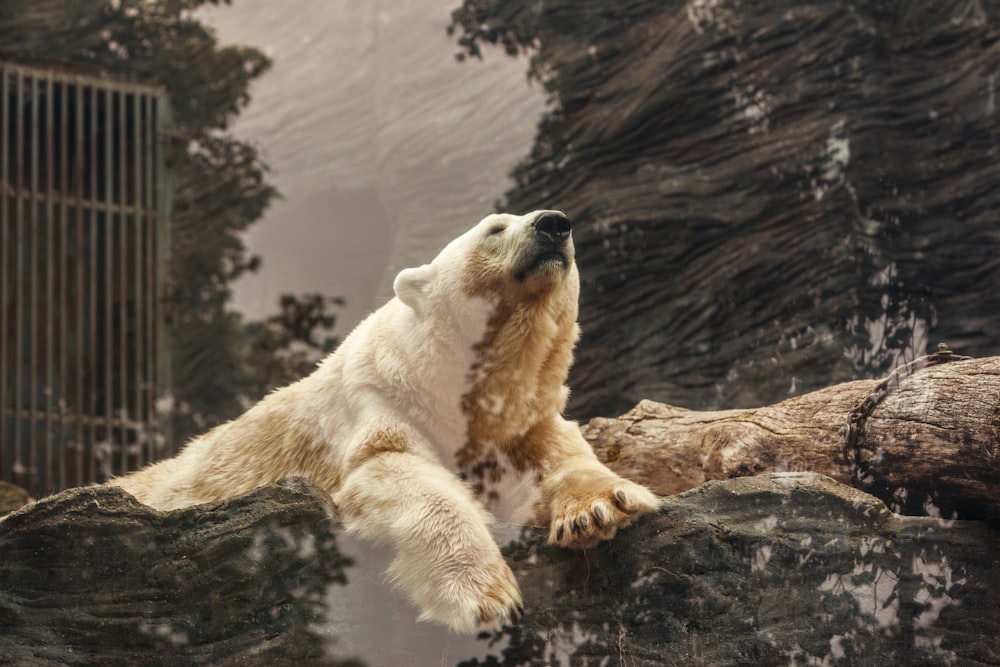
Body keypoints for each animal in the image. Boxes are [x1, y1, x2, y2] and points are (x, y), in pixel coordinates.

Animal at [113, 211, 660, 636]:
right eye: (495, 227)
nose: (554, 224)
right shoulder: (377, 399)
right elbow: (393, 468)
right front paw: (487, 599)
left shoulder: (521, 425)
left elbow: (561, 458)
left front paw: (600, 510)